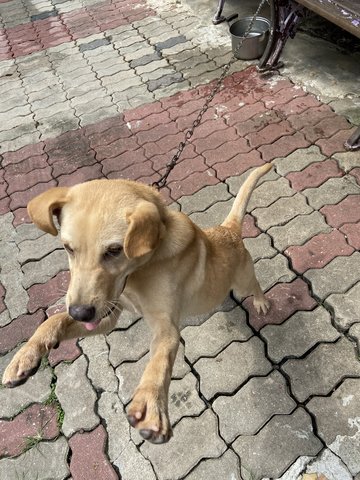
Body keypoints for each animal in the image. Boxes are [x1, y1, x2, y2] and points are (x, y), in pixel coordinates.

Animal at [1, 163, 272, 444]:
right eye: (68, 248)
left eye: (114, 250)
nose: (80, 313)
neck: (138, 272)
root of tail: (229, 229)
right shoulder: (108, 313)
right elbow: (54, 320)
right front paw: (26, 356)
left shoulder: (165, 326)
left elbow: (160, 361)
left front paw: (151, 404)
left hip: (243, 281)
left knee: (255, 286)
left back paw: (261, 302)